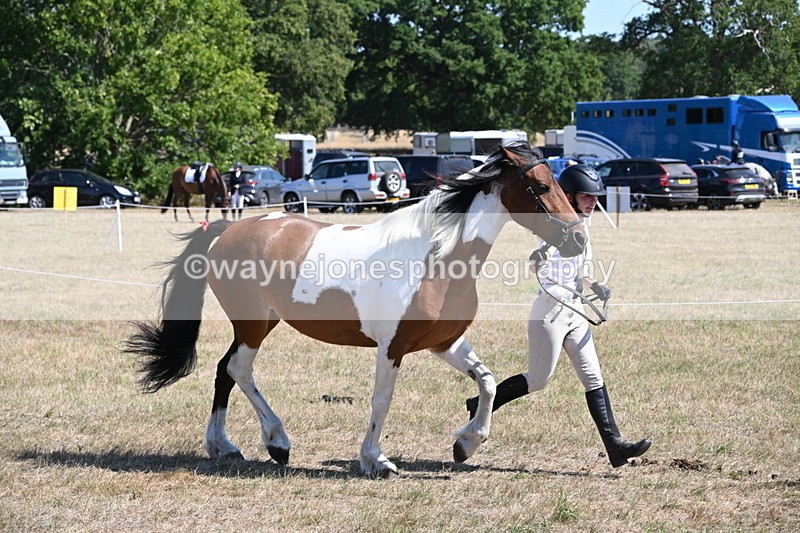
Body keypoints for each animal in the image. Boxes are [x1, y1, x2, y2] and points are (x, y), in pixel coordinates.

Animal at [126, 142, 587, 477]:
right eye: (541, 188)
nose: (578, 239)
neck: (437, 257)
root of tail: (228, 228)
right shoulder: (392, 347)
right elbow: (381, 400)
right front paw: (375, 459)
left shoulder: (445, 343)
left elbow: (488, 382)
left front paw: (465, 444)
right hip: (254, 325)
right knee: (239, 369)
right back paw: (277, 442)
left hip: (257, 324)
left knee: (225, 369)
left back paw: (223, 446)